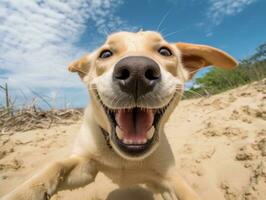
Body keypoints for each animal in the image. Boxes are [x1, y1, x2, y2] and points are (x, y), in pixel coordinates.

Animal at [2, 31, 238, 200]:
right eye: (105, 54)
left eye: (165, 52)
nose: (137, 72)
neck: (124, 158)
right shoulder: (85, 169)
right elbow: (55, 165)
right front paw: (23, 193)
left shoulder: (170, 178)